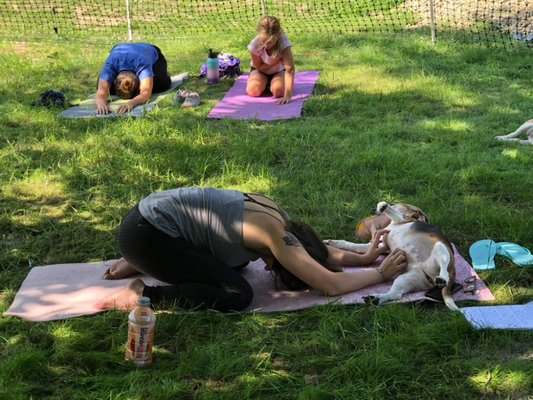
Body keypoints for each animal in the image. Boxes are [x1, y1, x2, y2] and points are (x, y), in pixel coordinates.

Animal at [324, 202, 458, 310]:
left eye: (394, 203)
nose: (372, 210)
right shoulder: (376, 245)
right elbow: (350, 245)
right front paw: (331, 242)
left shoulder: (400, 218)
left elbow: (389, 209)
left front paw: (383, 205)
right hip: (409, 277)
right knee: (396, 294)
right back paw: (376, 299)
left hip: (440, 248)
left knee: (444, 269)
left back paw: (442, 278)